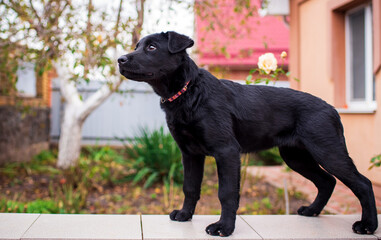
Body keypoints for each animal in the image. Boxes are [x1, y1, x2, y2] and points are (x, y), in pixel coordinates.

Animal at [118, 31, 378, 236]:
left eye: (152, 47)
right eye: (137, 46)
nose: (120, 59)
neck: (189, 92)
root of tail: (332, 109)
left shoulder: (226, 152)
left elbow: (226, 193)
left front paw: (224, 228)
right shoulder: (190, 154)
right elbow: (190, 187)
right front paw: (184, 214)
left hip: (328, 151)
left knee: (362, 183)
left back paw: (368, 225)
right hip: (296, 157)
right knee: (327, 181)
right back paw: (312, 211)